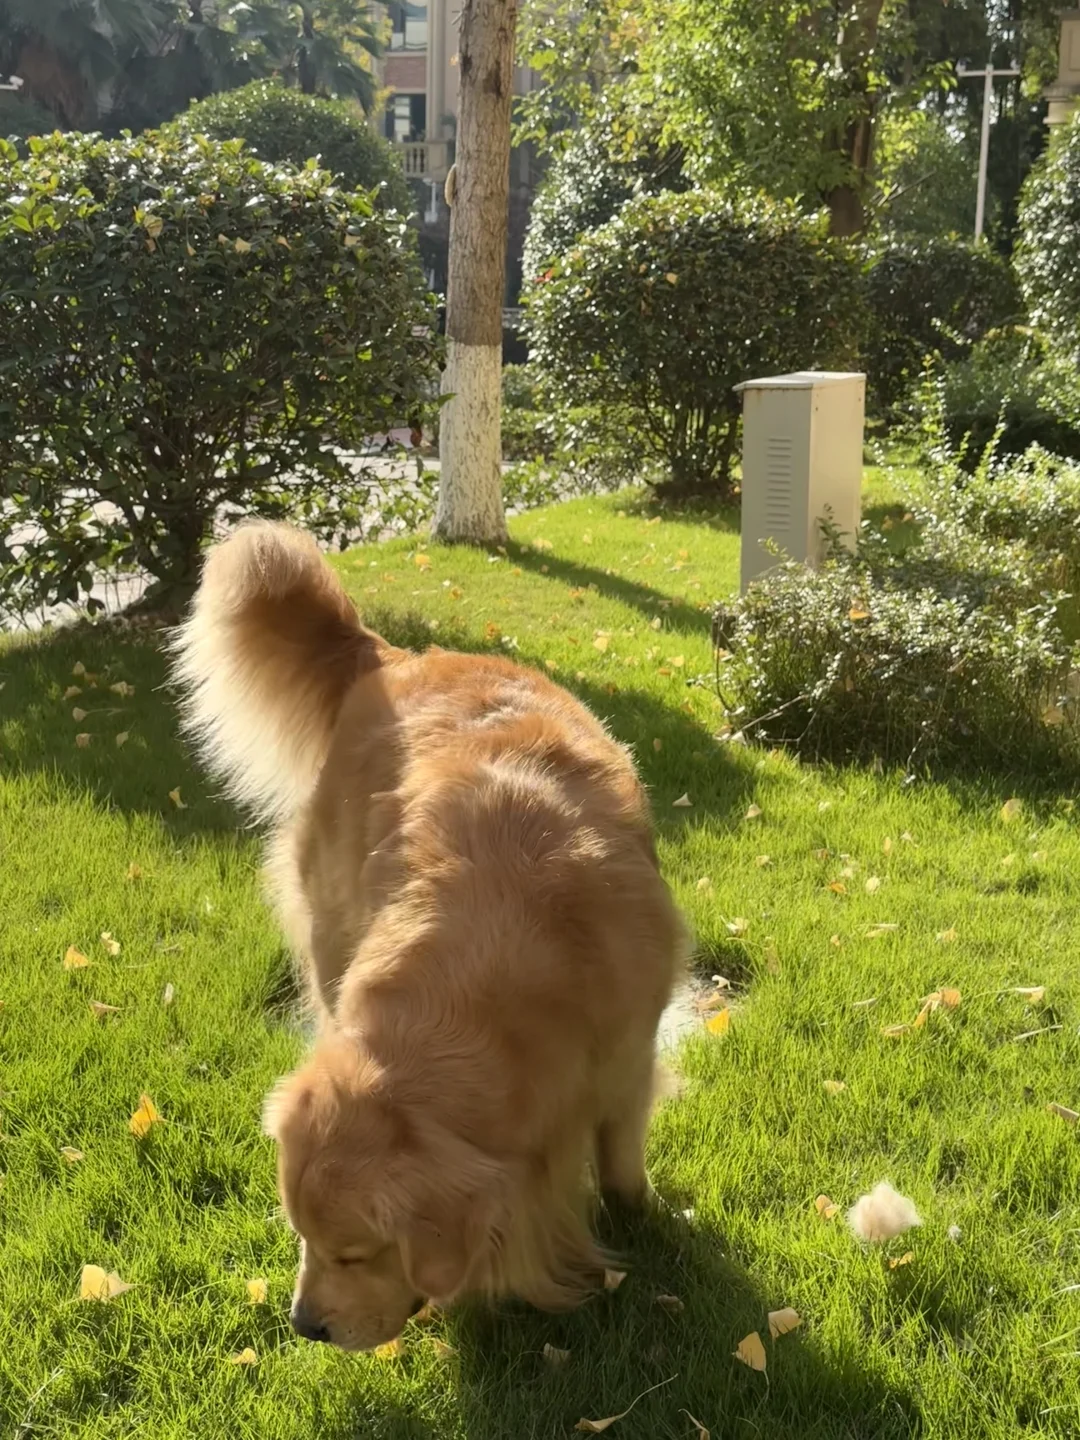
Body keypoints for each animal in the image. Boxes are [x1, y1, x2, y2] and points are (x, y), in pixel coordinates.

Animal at [172, 523, 686, 1351]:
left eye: (357, 1253)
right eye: (304, 1239)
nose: (305, 1326)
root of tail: (392, 655)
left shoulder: (629, 1058)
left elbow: (621, 1165)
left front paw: (644, 1219)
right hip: (330, 918)